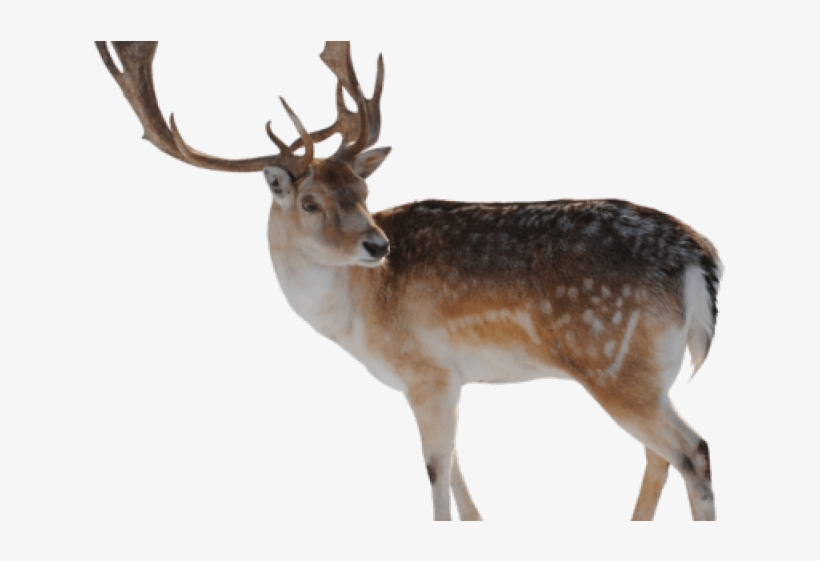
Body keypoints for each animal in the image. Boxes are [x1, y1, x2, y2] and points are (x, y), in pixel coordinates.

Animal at [96, 41, 722, 522]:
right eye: (311, 200)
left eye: (363, 191)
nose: (377, 245)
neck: (357, 318)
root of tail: (698, 257)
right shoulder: (446, 378)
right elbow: (457, 467)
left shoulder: (425, 370)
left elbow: (435, 470)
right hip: (645, 372)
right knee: (659, 456)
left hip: (614, 362)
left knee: (691, 450)